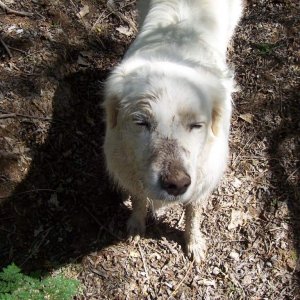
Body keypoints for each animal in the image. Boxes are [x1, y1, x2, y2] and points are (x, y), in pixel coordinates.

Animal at [103, 0, 244, 262]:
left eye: (196, 125)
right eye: (141, 123)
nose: (177, 184)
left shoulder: (202, 182)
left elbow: (193, 212)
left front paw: (194, 241)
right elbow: (139, 199)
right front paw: (136, 224)